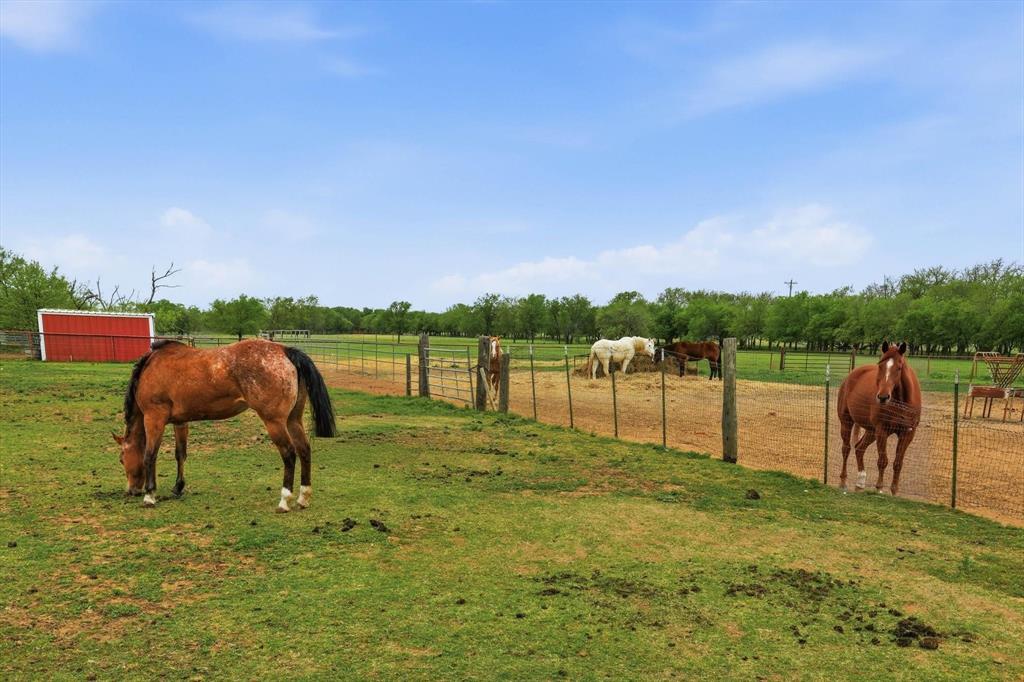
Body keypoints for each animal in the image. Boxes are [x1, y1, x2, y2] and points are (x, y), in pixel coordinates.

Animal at [113, 339, 336, 511]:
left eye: (122, 459)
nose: (131, 490)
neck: (152, 367)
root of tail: (284, 350)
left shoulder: (154, 418)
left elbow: (150, 455)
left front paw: (150, 496)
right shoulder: (180, 422)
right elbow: (180, 454)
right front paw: (178, 487)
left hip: (275, 422)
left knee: (289, 453)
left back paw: (284, 500)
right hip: (293, 420)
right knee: (304, 450)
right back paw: (303, 498)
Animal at [836, 341, 922, 496]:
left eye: (899, 367)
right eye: (880, 365)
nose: (883, 397)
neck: (901, 402)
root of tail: (852, 375)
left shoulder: (907, 433)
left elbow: (898, 463)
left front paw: (894, 491)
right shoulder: (882, 431)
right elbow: (883, 460)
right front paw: (879, 488)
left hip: (871, 431)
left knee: (859, 448)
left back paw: (860, 482)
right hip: (847, 422)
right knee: (846, 449)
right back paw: (843, 482)